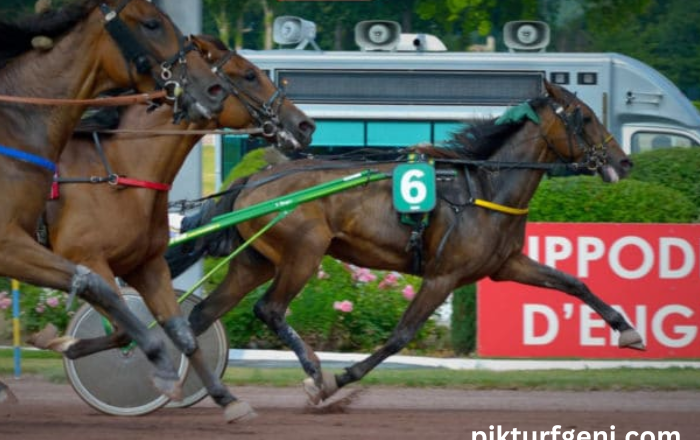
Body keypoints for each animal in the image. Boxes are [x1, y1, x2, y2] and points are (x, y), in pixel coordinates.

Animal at [0, 0, 224, 404]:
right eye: (152, 24)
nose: (213, 88)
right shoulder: (18, 244)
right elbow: (101, 291)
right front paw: (160, 364)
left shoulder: (142, 260)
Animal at [27, 36, 314, 422]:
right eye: (249, 75)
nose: (305, 125)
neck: (116, 171)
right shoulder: (88, 259)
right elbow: (125, 329)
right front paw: (63, 342)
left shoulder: (146, 263)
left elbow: (179, 332)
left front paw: (227, 399)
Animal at [168, 80, 644, 406]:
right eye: (584, 117)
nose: (624, 161)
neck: (484, 188)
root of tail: (252, 179)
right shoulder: (443, 276)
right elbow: (401, 335)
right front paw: (340, 379)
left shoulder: (506, 264)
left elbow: (573, 282)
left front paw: (629, 331)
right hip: (304, 251)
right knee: (269, 309)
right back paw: (315, 374)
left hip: (256, 260)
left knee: (200, 317)